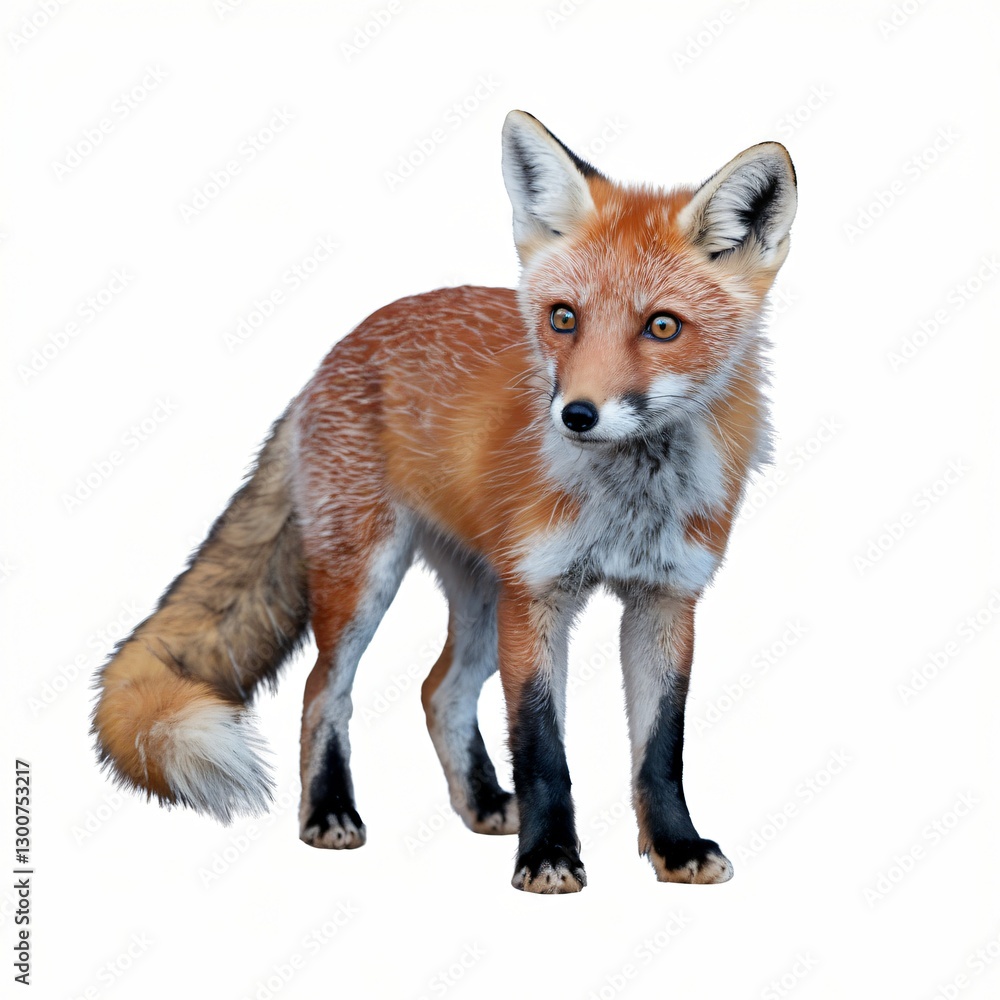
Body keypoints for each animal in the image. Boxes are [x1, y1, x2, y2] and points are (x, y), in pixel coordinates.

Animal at [92, 110, 796, 893]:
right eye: (563, 318)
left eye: (663, 326)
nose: (576, 416)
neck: (629, 500)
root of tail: (335, 352)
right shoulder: (538, 596)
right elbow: (543, 748)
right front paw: (549, 856)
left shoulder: (666, 599)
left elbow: (660, 750)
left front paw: (675, 848)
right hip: (369, 580)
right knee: (322, 691)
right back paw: (328, 812)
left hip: (485, 598)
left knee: (440, 690)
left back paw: (483, 801)